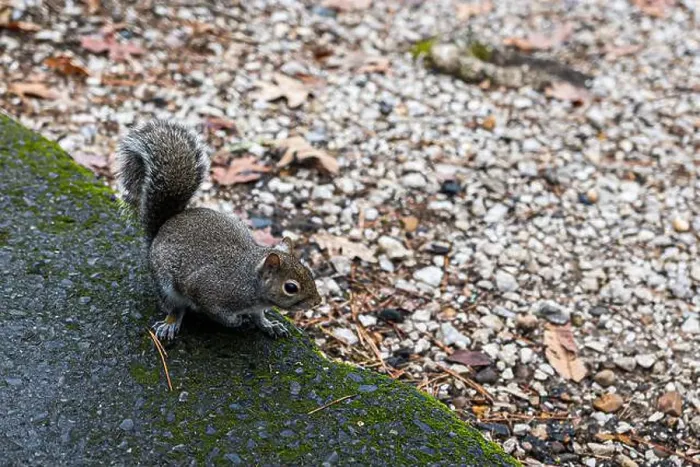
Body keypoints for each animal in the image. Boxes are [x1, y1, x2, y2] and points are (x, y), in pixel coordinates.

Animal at [116, 119, 322, 340]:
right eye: (291, 287)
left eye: (309, 271)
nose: (317, 301)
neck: (249, 279)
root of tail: (164, 226)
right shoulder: (208, 292)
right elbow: (218, 314)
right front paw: (236, 321)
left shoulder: (255, 306)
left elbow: (259, 316)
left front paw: (268, 325)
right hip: (166, 286)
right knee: (175, 307)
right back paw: (170, 323)